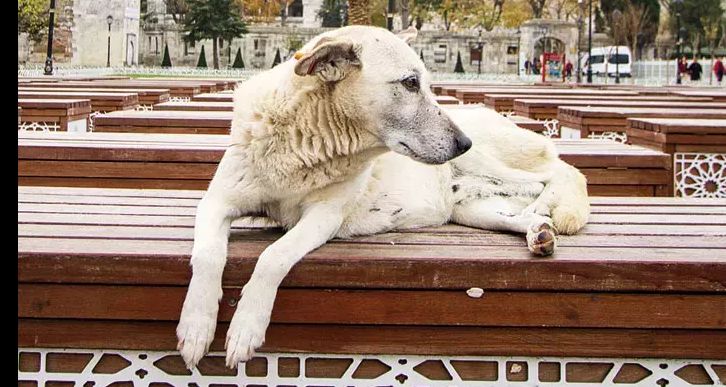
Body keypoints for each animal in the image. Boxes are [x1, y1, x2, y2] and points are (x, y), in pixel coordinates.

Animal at [176, 24, 592, 370]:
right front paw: (196, 326)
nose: (463, 142)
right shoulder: (216, 202)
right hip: (471, 207)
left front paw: (246, 326)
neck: (305, 144)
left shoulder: (323, 217)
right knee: (520, 207)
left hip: (491, 162)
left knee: (555, 176)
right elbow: (208, 255)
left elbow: (272, 256)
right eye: (410, 83)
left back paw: (544, 207)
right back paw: (539, 232)